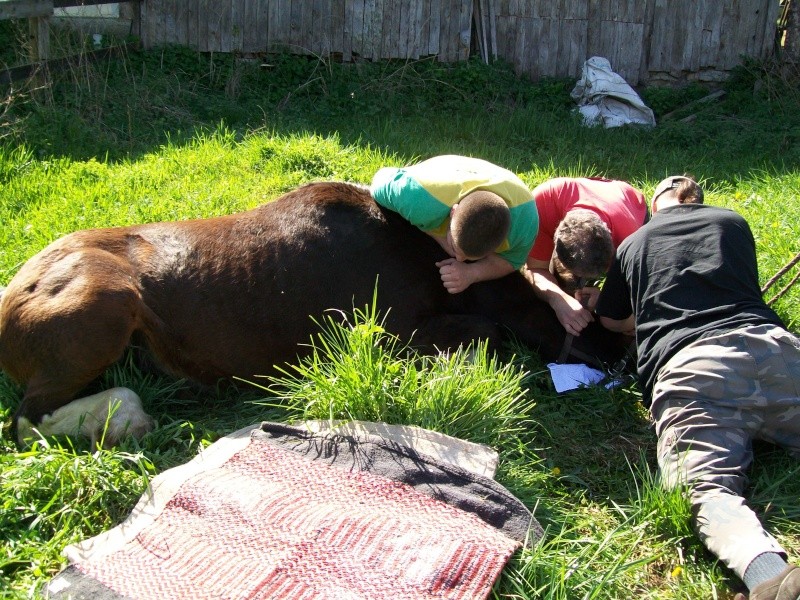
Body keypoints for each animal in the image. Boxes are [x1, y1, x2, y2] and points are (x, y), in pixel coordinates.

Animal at [0, 182, 632, 446]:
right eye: (586, 317)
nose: (623, 354)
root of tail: (15, 294)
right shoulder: (398, 334)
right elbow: (488, 334)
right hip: (104, 306)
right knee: (29, 421)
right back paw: (129, 420)